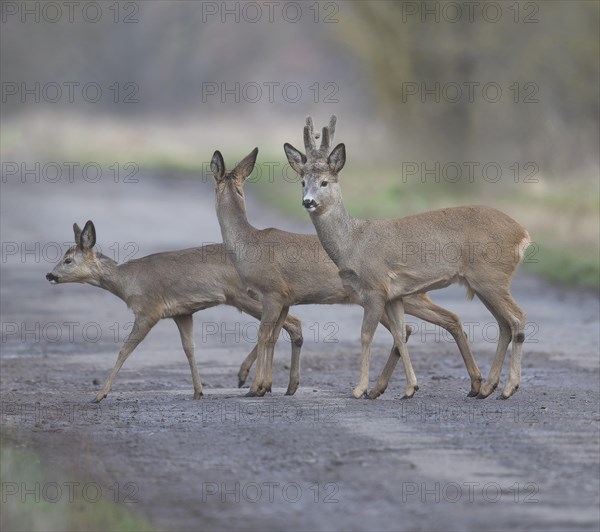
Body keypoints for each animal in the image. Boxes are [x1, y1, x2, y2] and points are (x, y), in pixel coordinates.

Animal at [45, 222, 304, 402]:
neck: (127, 283)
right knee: (286, 324)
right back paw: (277, 385)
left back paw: (259, 381)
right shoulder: (182, 313)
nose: (49, 275)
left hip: (247, 297)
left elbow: (125, 350)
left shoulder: (148, 310)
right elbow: (189, 349)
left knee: (292, 321)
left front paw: (100, 395)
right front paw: (198, 392)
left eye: (68, 260)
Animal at [211, 148, 482, 396]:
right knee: (438, 322)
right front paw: (272, 385)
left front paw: (255, 386)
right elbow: (275, 335)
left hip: (399, 296)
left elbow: (264, 334)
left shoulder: (273, 292)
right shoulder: (286, 298)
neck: (248, 244)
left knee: (415, 326)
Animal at [284, 116, 528, 400]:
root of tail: (522, 234)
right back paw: (487, 387)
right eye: (302, 182)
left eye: (324, 182)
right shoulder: (395, 295)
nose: (308, 202)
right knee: (503, 324)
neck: (353, 243)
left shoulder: (374, 288)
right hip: (484, 283)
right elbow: (400, 335)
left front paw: (360, 388)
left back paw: (508, 388)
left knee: (517, 318)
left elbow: (366, 335)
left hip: (491, 277)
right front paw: (410, 387)